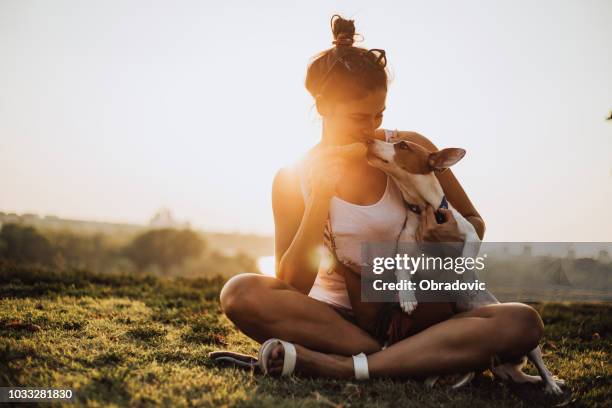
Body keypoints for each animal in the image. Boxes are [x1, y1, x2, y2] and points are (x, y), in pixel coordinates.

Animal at [364, 131, 564, 396]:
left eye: (403, 145)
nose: (368, 140)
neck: (422, 208)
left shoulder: (469, 233)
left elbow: (467, 257)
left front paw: (465, 276)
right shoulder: (404, 252)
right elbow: (402, 273)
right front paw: (407, 298)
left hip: (533, 347)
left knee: (541, 366)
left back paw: (552, 385)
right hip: (500, 367)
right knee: (517, 376)